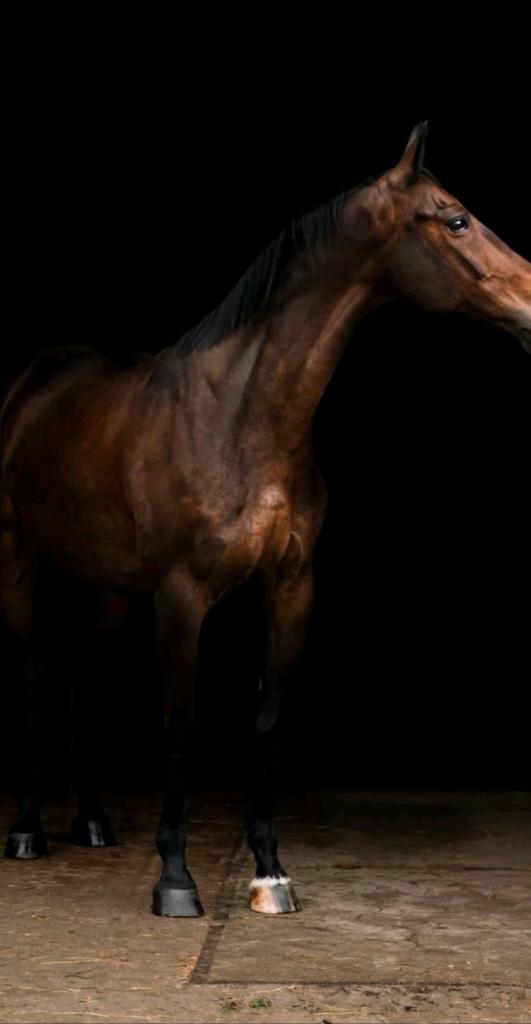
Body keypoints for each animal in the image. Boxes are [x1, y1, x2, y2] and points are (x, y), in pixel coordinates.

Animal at [1, 122, 530, 918]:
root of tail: (36, 381)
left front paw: (269, 872)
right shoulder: (182, 596)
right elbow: (181, 728)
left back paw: (92, 823)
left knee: (83, 676)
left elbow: (270, 724)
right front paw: (175, 877)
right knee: (34, 677)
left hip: (107, 587)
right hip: (22, 564)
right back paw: (30, 830)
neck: (240, 417)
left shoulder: (289, 587)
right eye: (456, 218)